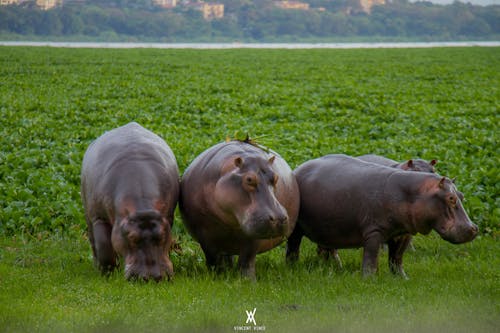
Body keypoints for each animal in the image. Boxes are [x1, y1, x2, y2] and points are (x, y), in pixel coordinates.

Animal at [83, 122, 181, 280]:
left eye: (161, 236)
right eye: (132, 238)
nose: (151, 277)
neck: (142, 206)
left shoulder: (168, 218)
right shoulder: (99, 217)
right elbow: (104, 245)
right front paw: (108, 274)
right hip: (88, 211)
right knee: (93, 240)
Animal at [180, 137, 298, 278]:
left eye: (275, 177)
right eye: (249, 179)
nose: (279, 219)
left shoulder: (253, 236)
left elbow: (247, 260)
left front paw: (247, 280)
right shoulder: (204, 232)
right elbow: (212, 258)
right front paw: (217, 276)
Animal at [286, 154, 476, 278]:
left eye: (461, 195)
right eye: (451, 198)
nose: (473, 228)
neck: (414, 193)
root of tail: (299, 168)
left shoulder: (404, 233)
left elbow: (397, 258)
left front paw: (402, 278)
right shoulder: (374, 231)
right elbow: (371, 257)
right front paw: (369, 279)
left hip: (328, 229)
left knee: (327, 248)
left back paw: (333, 268)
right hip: (297, 229)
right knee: (293, 246)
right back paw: (293, 267)